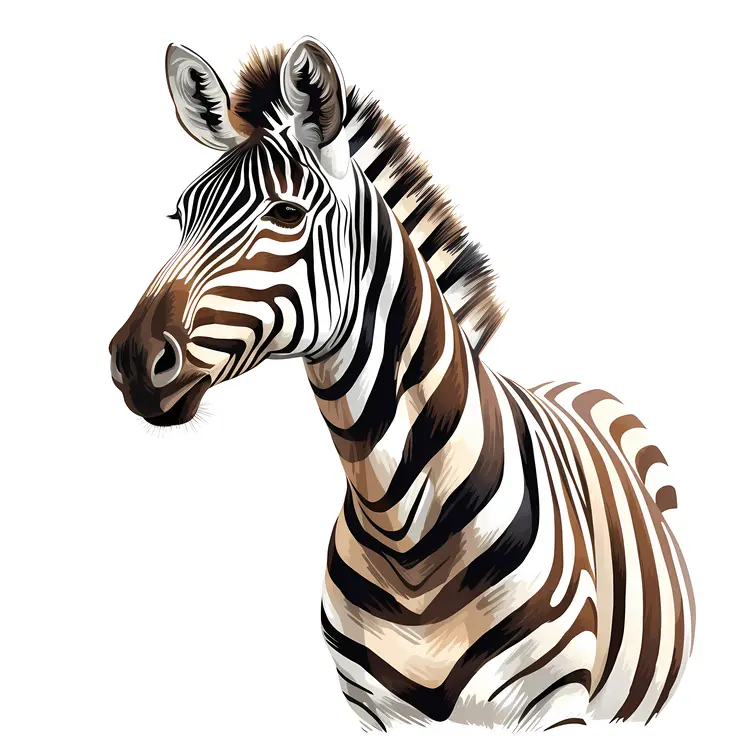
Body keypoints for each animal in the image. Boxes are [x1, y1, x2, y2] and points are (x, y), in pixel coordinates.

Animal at [109, 37, 695, 731]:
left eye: (287, 214)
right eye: (180, 216)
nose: (132, 359)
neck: (403, 526)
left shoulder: (555, 708)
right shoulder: (375, 713)